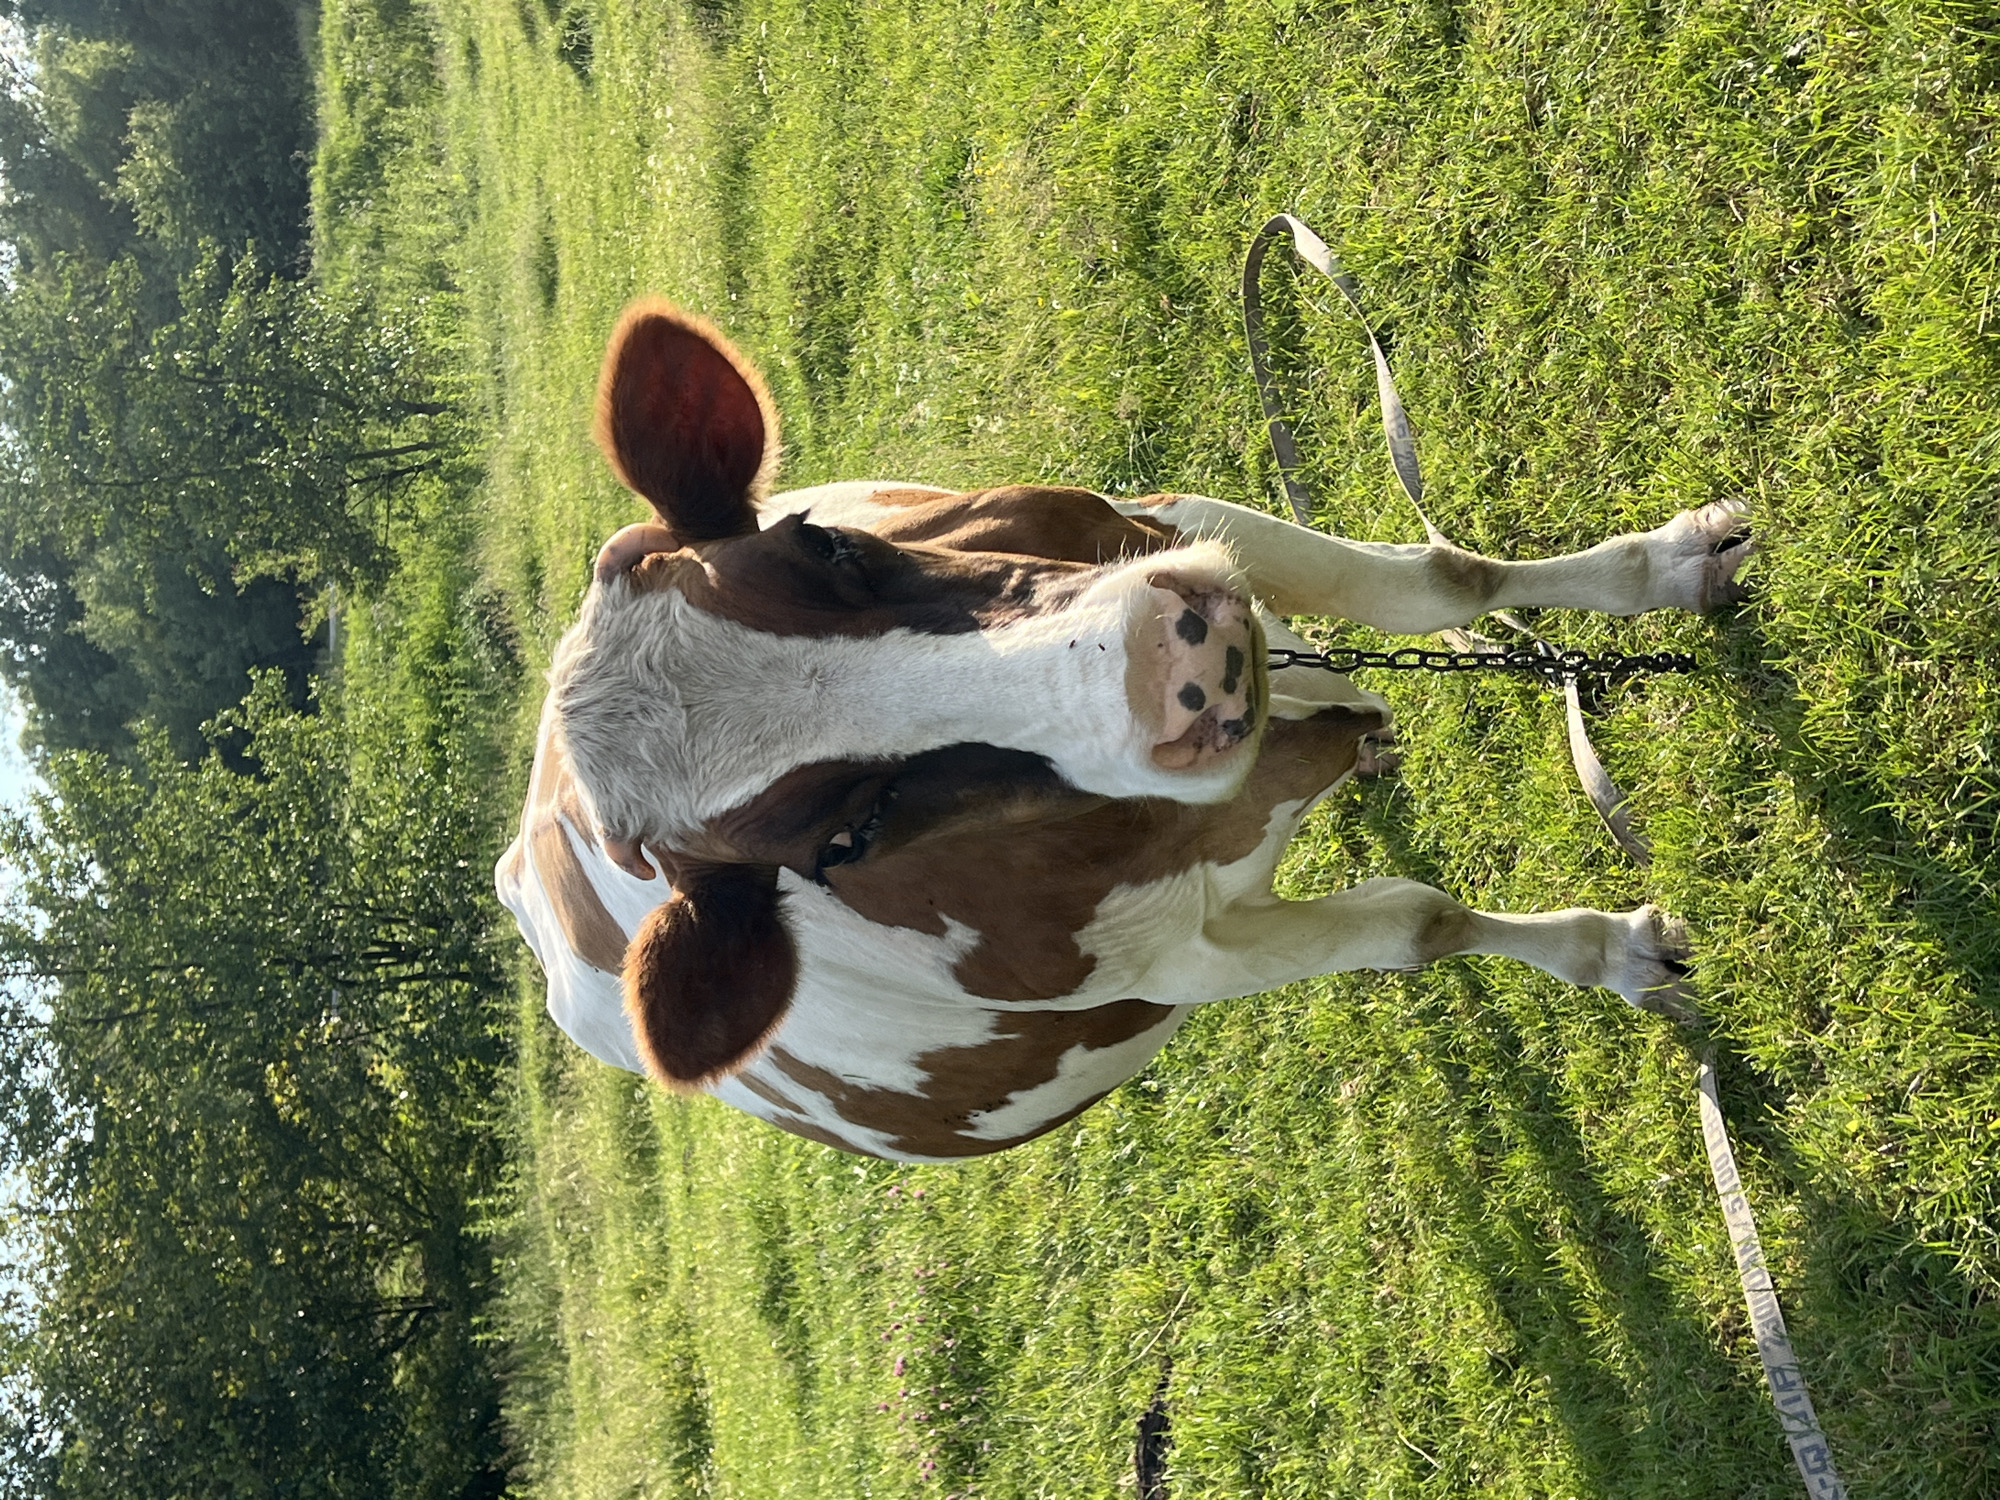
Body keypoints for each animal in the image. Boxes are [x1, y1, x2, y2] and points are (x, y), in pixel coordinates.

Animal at [495, 301, 1751, 1163]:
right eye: (842, 838)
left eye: (828, 546)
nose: (1172, 666)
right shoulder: (1183, 955)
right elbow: (1419, 922)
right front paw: (1612, 952)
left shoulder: (1162, 521)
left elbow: (1440, 581)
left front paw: (1666, 565)